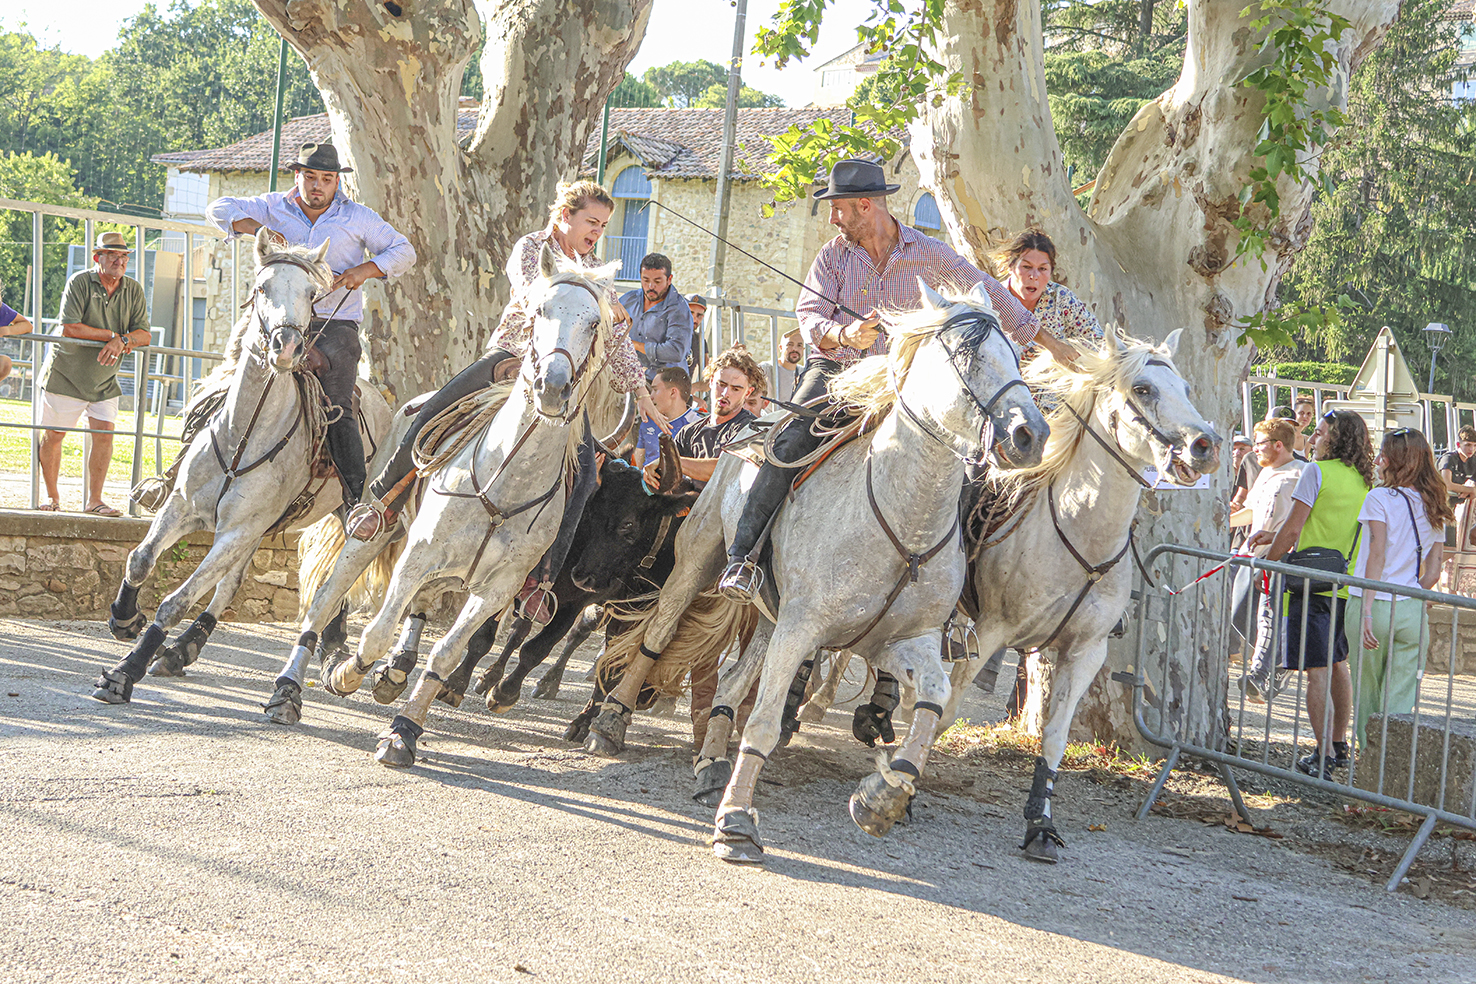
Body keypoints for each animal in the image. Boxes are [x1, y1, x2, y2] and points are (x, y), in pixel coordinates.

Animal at [91, 233, 392, 699]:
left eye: (312, 294)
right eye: (262, 287)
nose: (287, 347)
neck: (245, 435)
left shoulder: (237, 530)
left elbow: (176, 601)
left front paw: (125, 671)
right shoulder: (183, 507)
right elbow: (141, 559)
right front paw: (125, 619)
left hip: (343, 515)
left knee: (336, 581)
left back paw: (332, 650)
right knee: (231, 584)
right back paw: (183, 649)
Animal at [320, 247, 625, 767]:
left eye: (592, 324)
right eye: (540, 310)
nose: (552, 386)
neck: (504, 479)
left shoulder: (496, 589)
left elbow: (446, 653)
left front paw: (403, 731)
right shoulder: (418, 555)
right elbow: (377, 631)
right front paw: (347, 673)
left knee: (422, 611)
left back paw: (395, 673)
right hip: (379, 529)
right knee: (338, 583)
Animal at [587, 283, 1050, 861]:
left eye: (1016, 355)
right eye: (966, 355)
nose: (1031, 434)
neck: (904, 522)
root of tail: (743, 432)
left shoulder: (900, 641)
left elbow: (934, 700)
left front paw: (882, 797)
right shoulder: (803, 628)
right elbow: (764, 723)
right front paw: (736, 823)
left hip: (771, 617)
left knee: (731, 683)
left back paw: (712, 762)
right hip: (699, 563)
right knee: (658, 634)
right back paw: (612, 721)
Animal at [944, 330, 1222, 861]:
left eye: (1186, 388)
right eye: (1143, 389)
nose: (1206, 446)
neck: (1079, 532)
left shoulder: (1084, 652)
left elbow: (1054, 738)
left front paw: (1040, 825)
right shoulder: (990, 633)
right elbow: (945, 707)